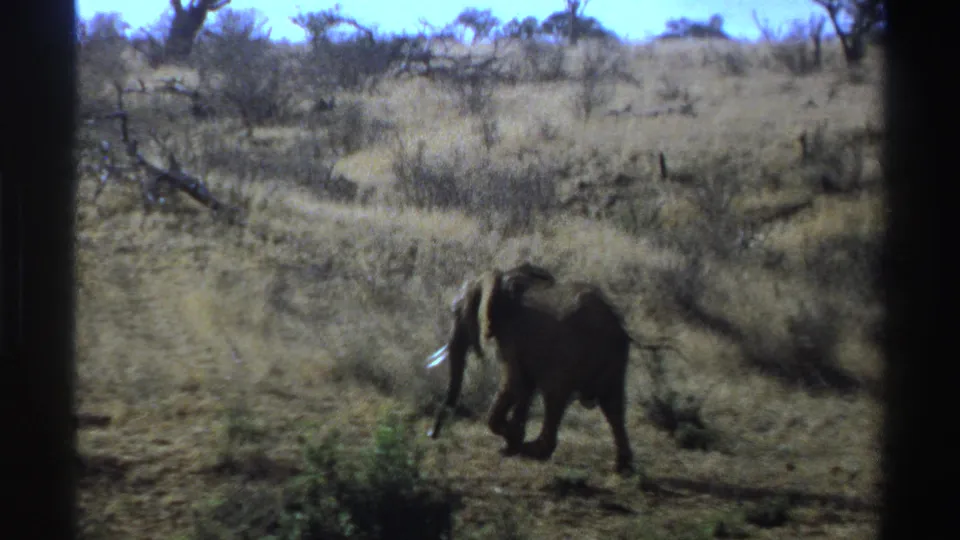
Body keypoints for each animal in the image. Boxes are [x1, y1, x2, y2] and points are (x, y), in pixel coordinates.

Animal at [424, 262, 657, 475]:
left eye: (456, 313)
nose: (431, 435)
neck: (500, 279)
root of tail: (620, 326)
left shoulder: (511, 333)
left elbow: (515, 383)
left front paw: (512, 441)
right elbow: (525, 387)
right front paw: (511, 444)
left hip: (571, 353)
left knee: (555, 397)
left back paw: (533, 451)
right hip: (613, 358)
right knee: (613, 405)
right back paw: (622, 467)